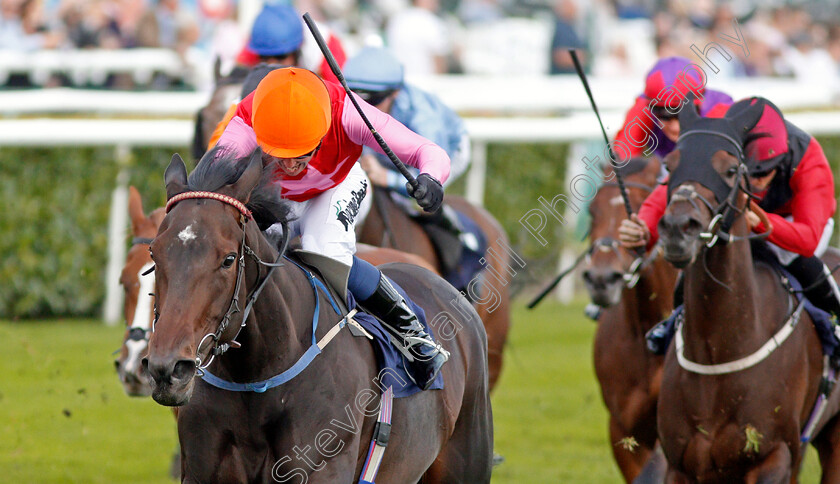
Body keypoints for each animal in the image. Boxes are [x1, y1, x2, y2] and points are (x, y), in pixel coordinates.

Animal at [144, 152, 492, 484]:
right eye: (154, 254)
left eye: (228, 259)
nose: (167, 368)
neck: (257, 379)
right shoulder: (200, 470)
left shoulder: (323, 466)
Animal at [656, 101, 840, 480]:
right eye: (670, 164)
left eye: (730, 169)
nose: (678, 228)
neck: (717, 350)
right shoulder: (681, 466)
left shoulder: (773, 455)